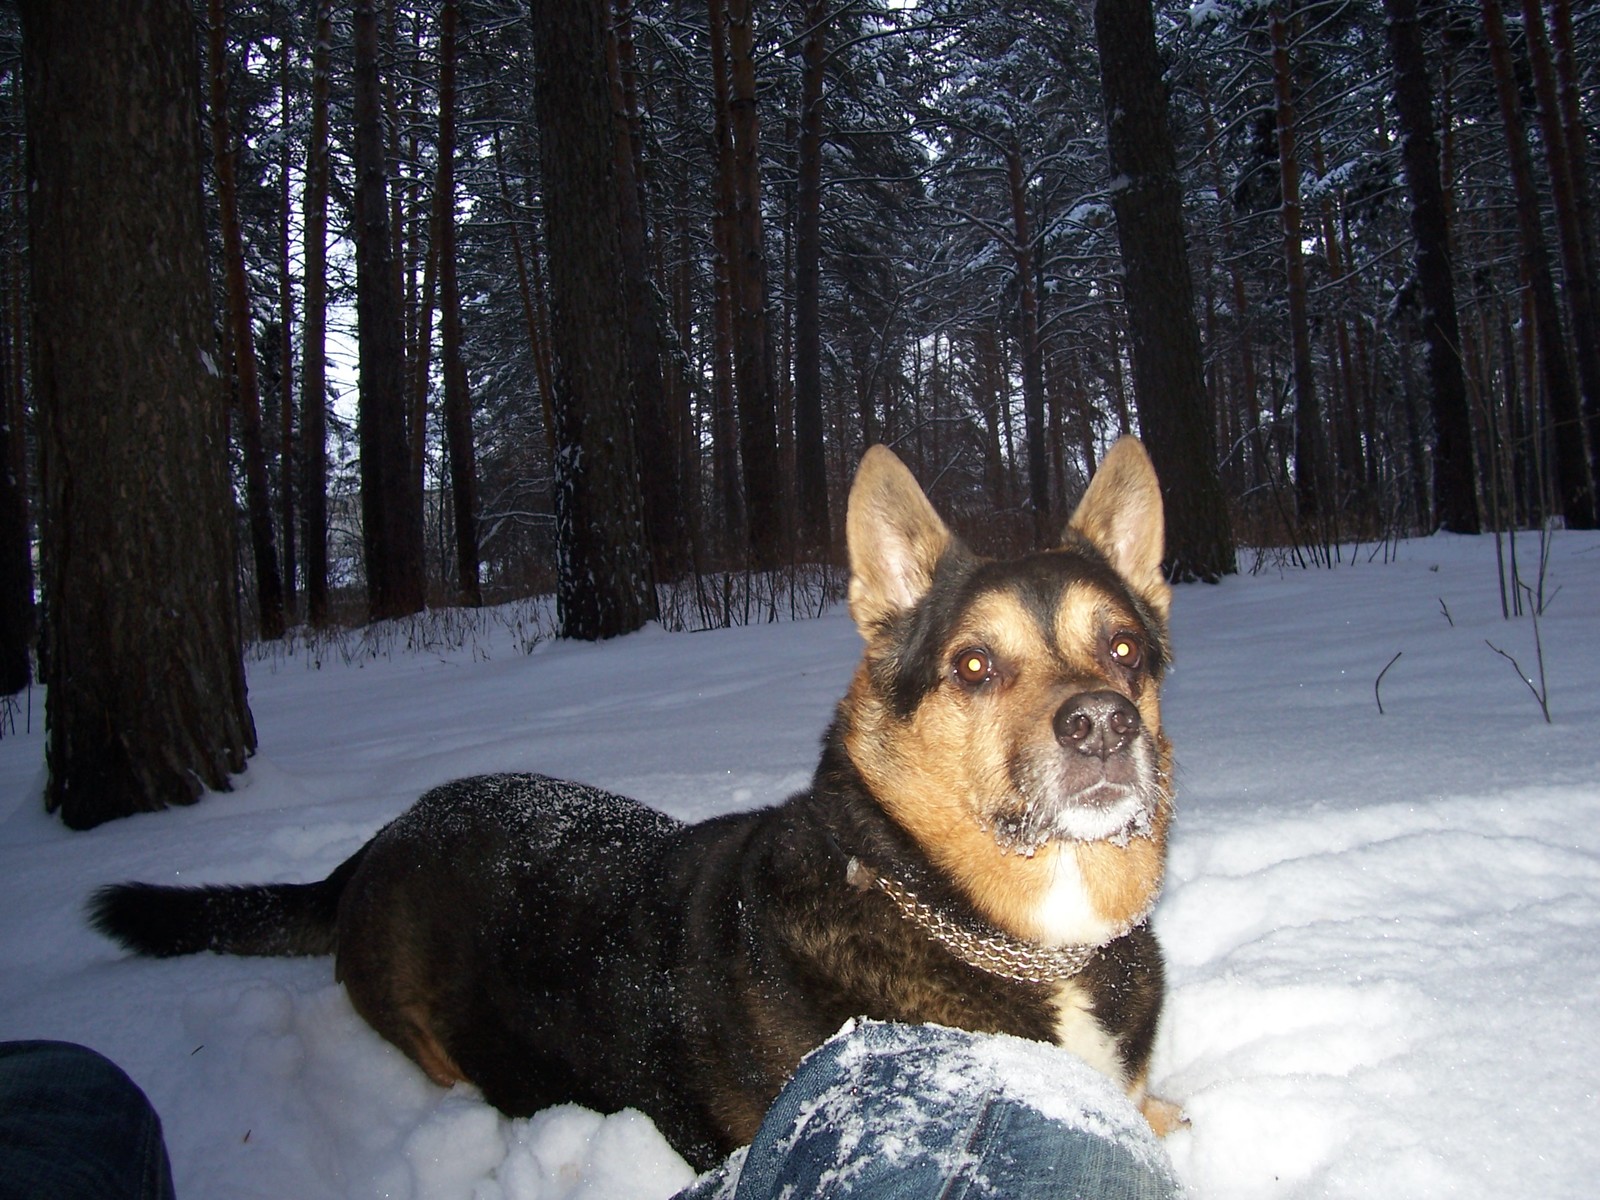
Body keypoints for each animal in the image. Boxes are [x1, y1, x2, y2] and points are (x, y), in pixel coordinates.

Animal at [93, 438, 1184, 1177]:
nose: (1102, 725)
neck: (1013, 934)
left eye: (1124, 649)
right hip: (422, 1024)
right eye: (974, 665)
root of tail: (383, 837)